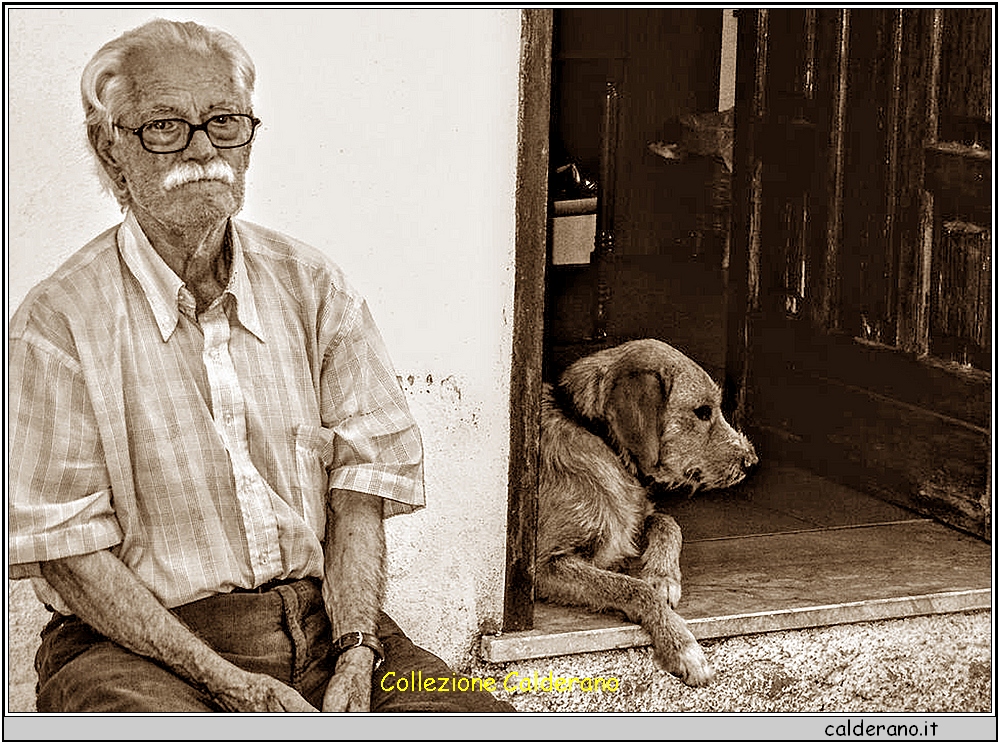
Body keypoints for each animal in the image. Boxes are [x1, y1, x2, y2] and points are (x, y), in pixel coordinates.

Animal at [540, 338, 756, 684]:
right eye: (702, 412)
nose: (751, 460)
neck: (602, 439)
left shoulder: (636, 517)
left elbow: (667, 522)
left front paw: (662, 575)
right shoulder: (545, 563)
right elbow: (632, 588)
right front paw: (680, 644)